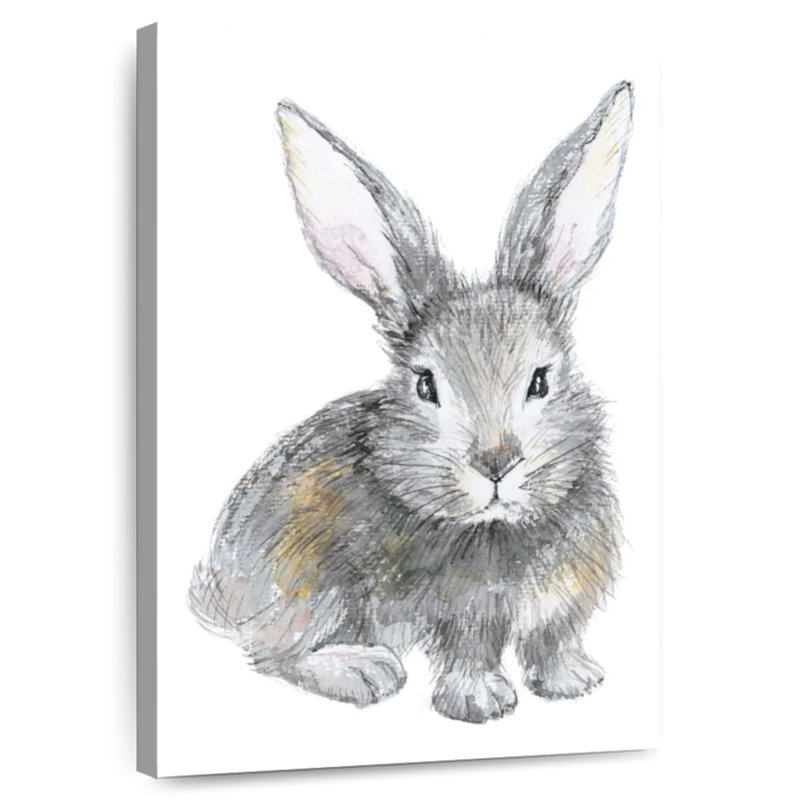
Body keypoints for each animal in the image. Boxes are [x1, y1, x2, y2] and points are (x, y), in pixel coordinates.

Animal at [189, 81, 633, 724]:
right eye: (426, 385)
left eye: (540, 381)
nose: (496, 463)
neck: (498, 525)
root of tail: (219, 593)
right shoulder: (464, 617)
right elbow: (471, 654)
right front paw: (480, 705)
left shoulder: (563, 606)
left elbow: (553, 641)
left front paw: (574, 682)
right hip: (310, 590)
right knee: (272, 654)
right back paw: (362, 671)